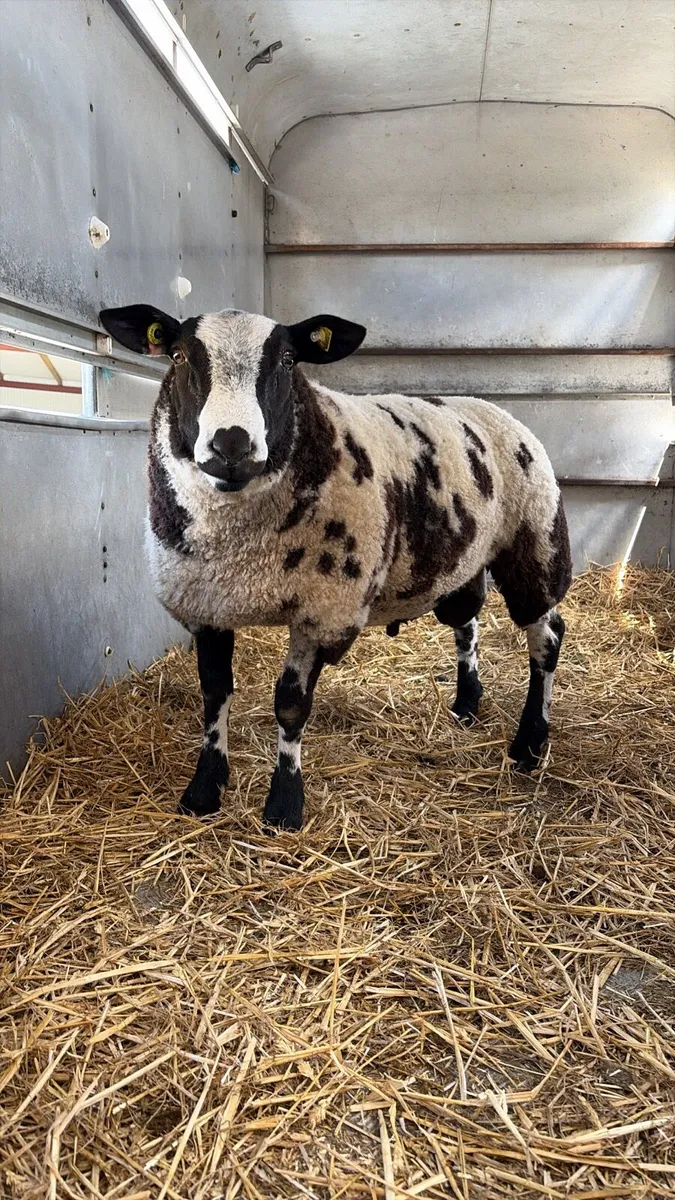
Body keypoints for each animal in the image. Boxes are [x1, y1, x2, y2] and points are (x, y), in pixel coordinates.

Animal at [99, 304, 572, 831]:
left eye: (288, 360)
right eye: (178, 355)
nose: (232, 446)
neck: (240, 552)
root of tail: (490, 408)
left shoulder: (322, 611)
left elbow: (290, 707)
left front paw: (284, 804)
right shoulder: (207, 608)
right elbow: (214, 695)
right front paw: (203, 791)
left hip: (536, 541)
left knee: (547, 636)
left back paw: (530, 743)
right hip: (459, 559)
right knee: (466, 620)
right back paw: (467, 703)